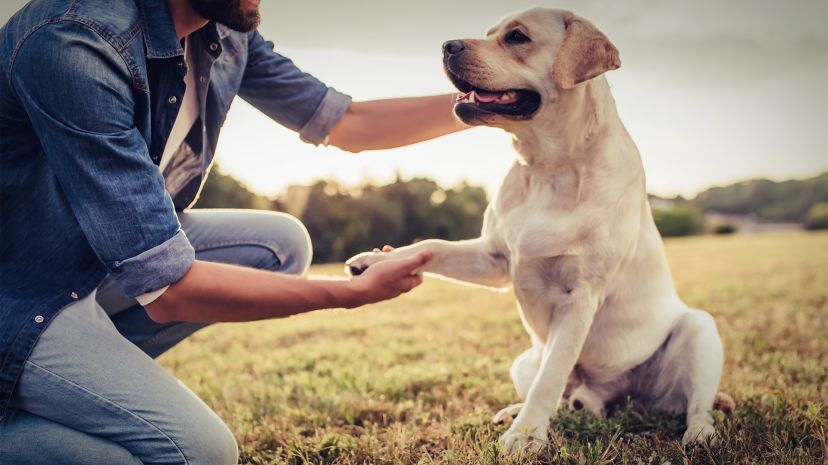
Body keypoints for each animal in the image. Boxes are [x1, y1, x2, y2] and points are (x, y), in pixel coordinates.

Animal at [346, 7, 728, 454]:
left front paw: (526, 436)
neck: (548, 169)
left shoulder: (580, 297)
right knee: (565, 397)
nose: (446, 45)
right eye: (489, 32)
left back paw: (700, 434)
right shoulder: (494, 258)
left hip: (699, 329)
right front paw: (375, 261)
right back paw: (522, 409)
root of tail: (611, 395)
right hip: (524, 359)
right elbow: (432, 244)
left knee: (696, 404)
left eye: (517, 37)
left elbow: (551, 377)